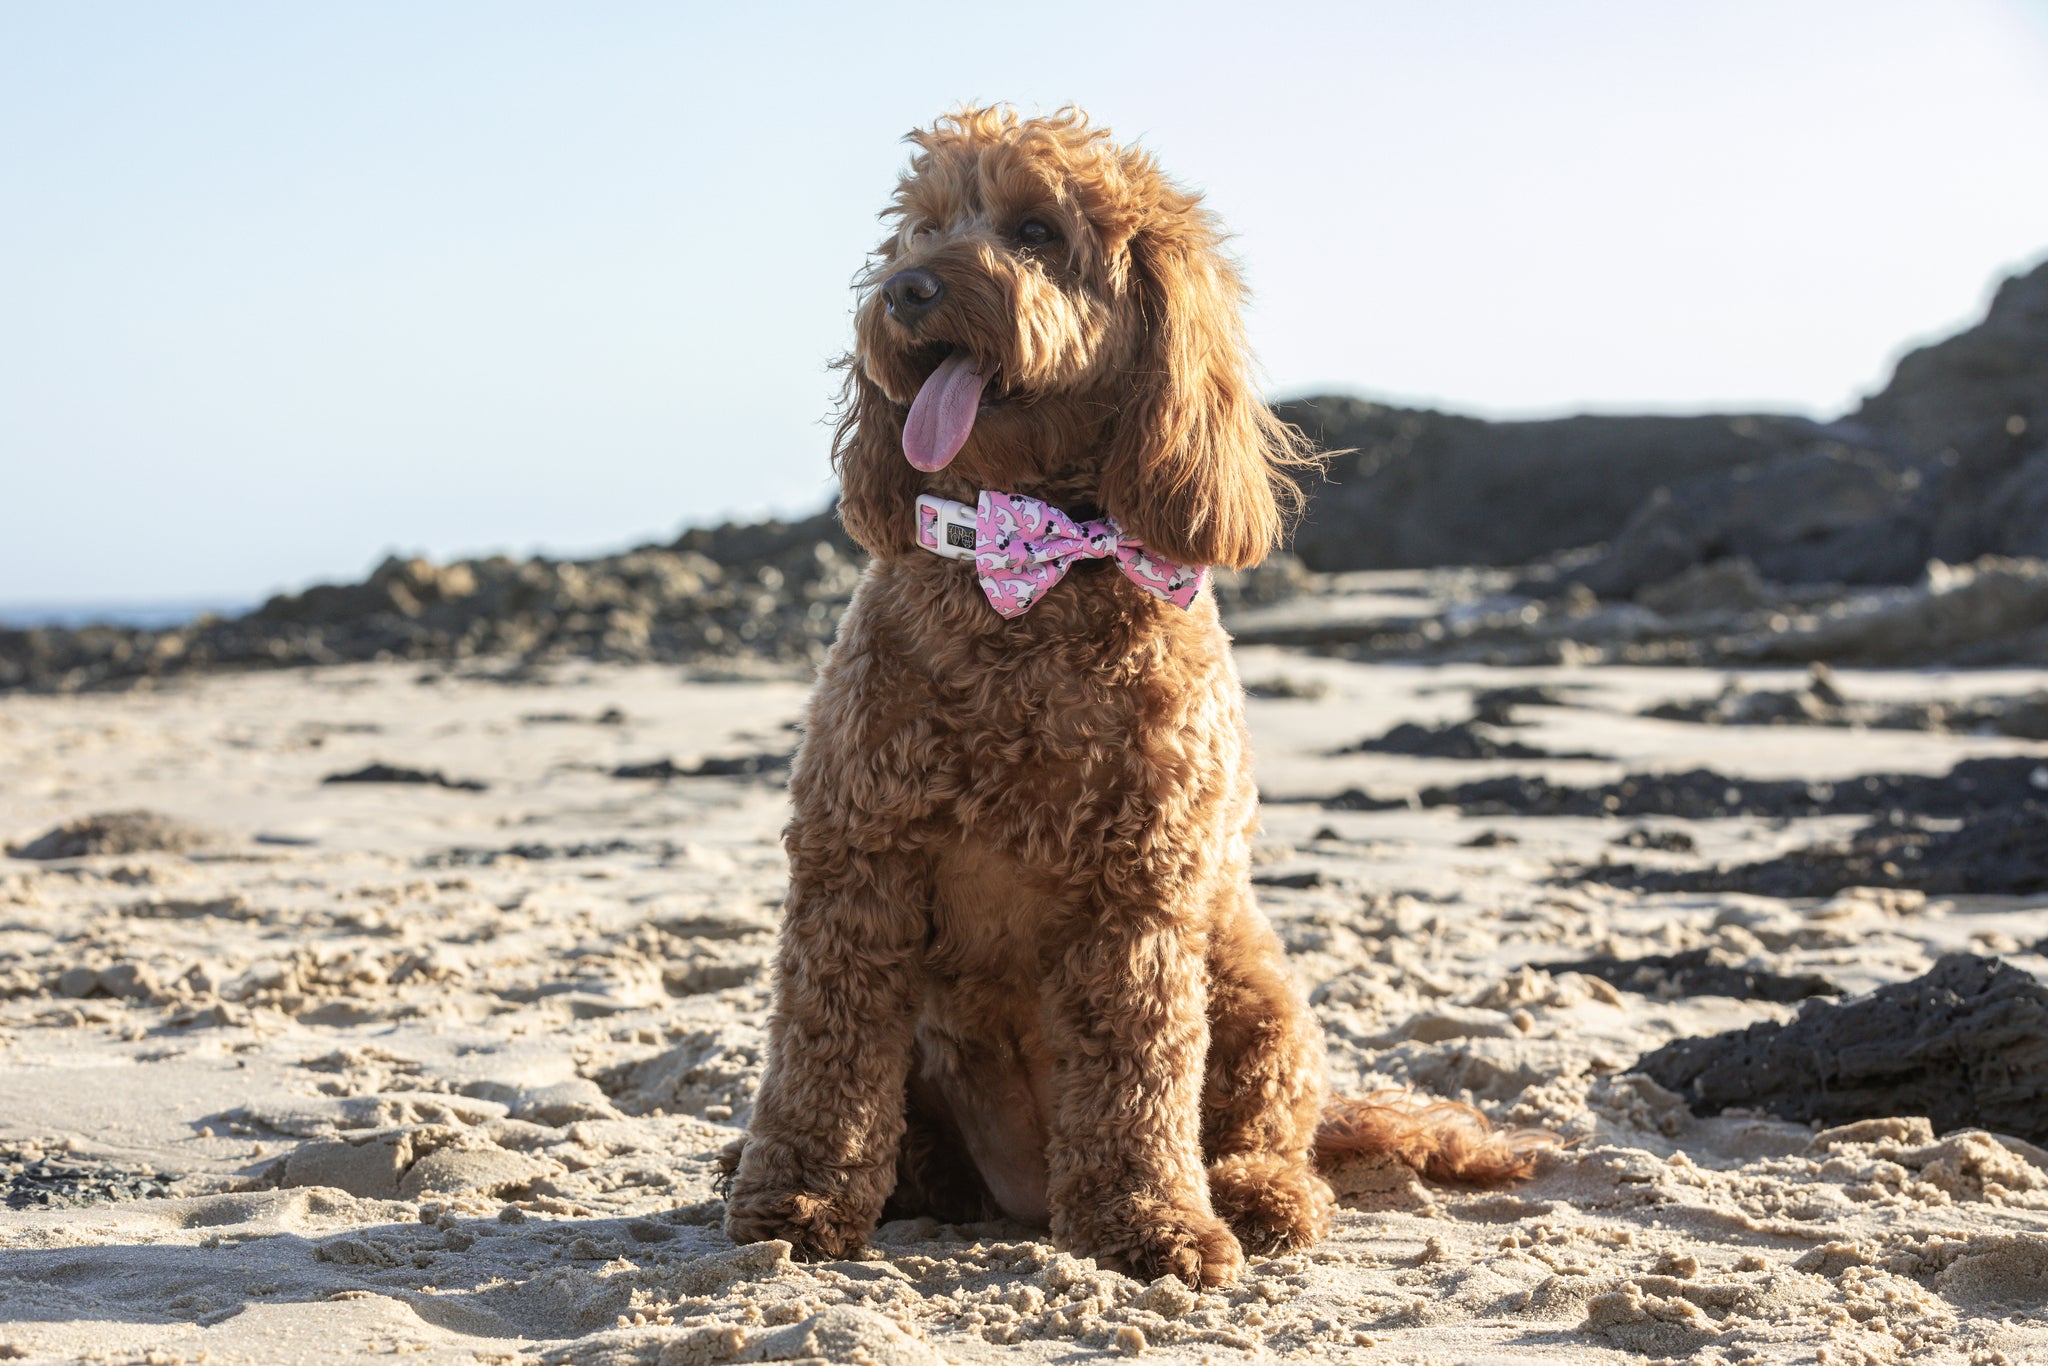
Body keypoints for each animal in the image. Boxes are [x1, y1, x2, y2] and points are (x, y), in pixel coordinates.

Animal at [720, 109, 1540, 1294]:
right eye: (921, 228)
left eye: (1033, 230)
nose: (907, 290)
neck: (1027, 572)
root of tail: (1016, 1192)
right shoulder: (856, 858)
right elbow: (824, 1057)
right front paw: (797, 1200)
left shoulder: (1138, 895)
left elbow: (1136, 1075)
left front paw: (1151, 1225)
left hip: (1249, 976)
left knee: (1269, 1125)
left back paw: (1258, 1196)